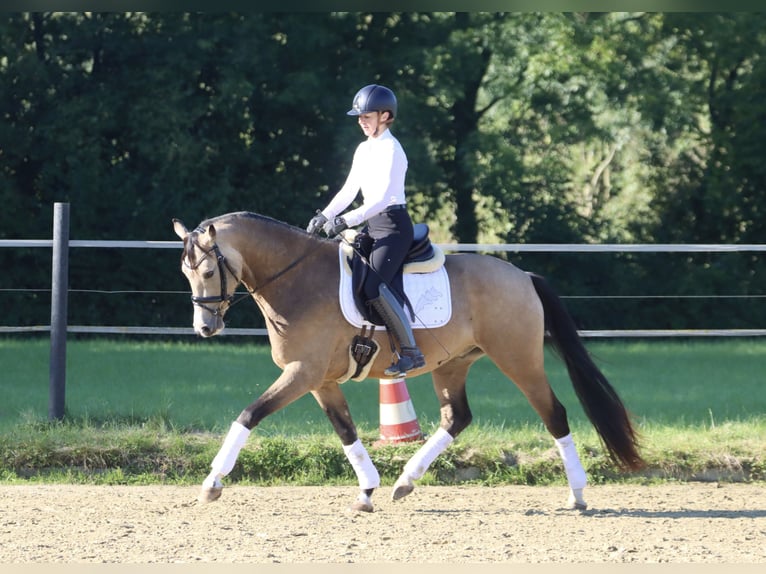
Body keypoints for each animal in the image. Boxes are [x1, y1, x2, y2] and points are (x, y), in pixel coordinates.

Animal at [172, 212, 640, 512]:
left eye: (208, 271)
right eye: (186, 272)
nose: (205, 328)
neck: (295, 278)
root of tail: (522, 276)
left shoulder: (302, 373)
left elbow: (248, 415)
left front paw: (212, 483)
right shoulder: (320, 380)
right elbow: (346, 430)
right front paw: (367, 491)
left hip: (518, 359)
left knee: (554, 413)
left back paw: (577, 494)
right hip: (452, 364)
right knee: (456, 418)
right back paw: (405, 481)